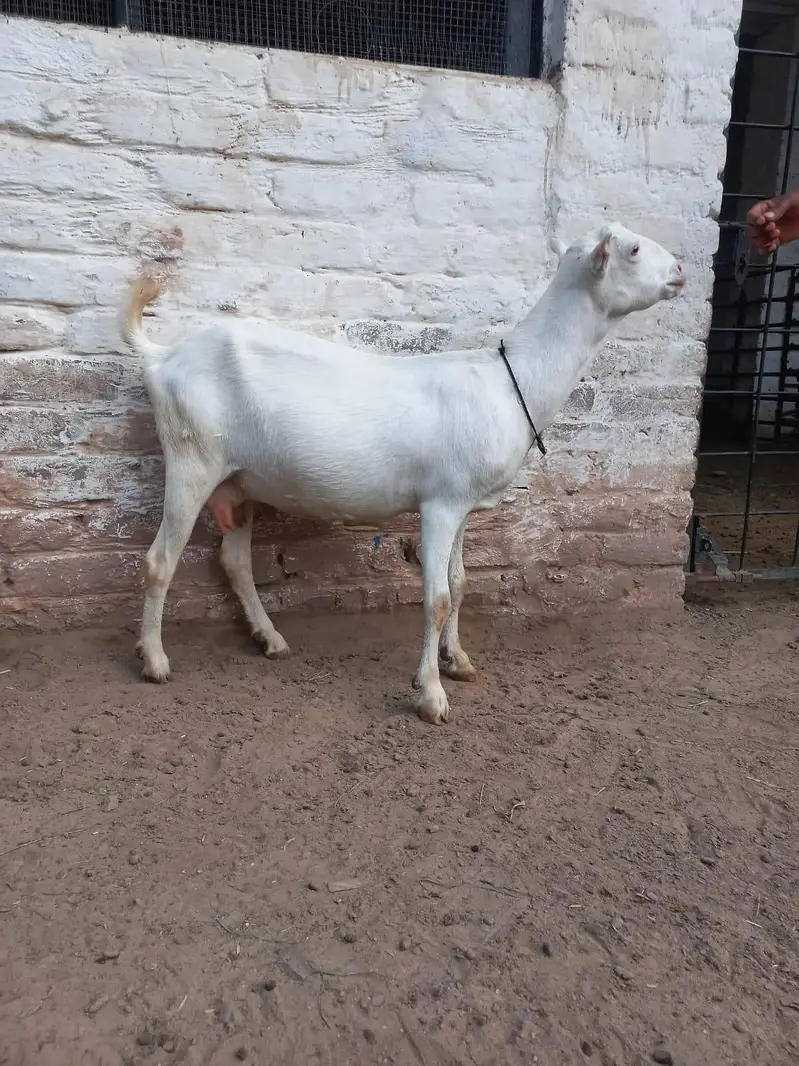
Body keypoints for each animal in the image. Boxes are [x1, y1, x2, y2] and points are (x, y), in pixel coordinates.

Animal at [120, 223, 684, 725]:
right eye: (633, 249)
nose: (681, 270)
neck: (512, 380)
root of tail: (161, 358)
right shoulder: (440, 503)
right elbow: (436, 598)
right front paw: (431, 695)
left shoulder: (463, 505)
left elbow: (459, 583)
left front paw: (457, 662)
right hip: (192, 459)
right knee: (160, 560)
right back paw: (155, 659)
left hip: (238, 483)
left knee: (234, 561)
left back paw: (270, 639)